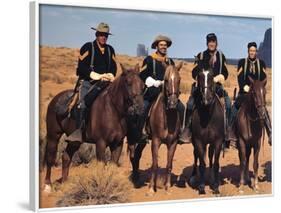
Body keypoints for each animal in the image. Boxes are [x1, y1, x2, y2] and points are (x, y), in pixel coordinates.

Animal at [44, 64, 145, 192]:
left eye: (142, 85)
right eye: (128, 82)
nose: (140, 108)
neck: (113, 110)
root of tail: (55, 99)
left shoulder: (118, 144)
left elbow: (112, 166)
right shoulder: (100, 143)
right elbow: (102, 167)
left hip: (74, 141)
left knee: (66, 157)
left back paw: (65, 183)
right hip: (53, 135)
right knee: (50, 157)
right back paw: (47, 185)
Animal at [143, 62, 183, 196]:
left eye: (179, 79)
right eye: (165, 80)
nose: (172, 103)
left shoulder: (173, 143)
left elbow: (169, 165)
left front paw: (167, 187)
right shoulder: (155, 141)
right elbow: (155, 165)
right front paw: (151, 189)